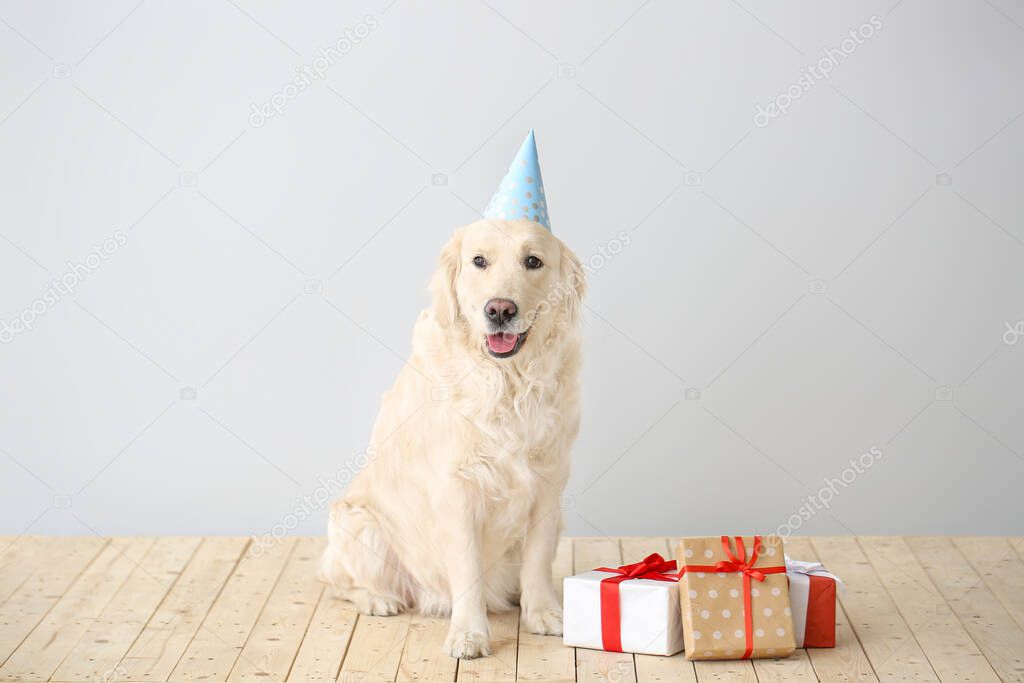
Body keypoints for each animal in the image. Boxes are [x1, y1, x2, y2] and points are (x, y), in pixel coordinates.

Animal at [323, 218, 589, 655]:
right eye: (478, 261)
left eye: (533, 261)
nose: (499, 309)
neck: (507, 383)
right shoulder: (456, 489)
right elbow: (467, 569)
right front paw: (468, 633)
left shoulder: (549, 483)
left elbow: (536, 560)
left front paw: (545, 614)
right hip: (359, 525)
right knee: (335, 581)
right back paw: (379, 599)